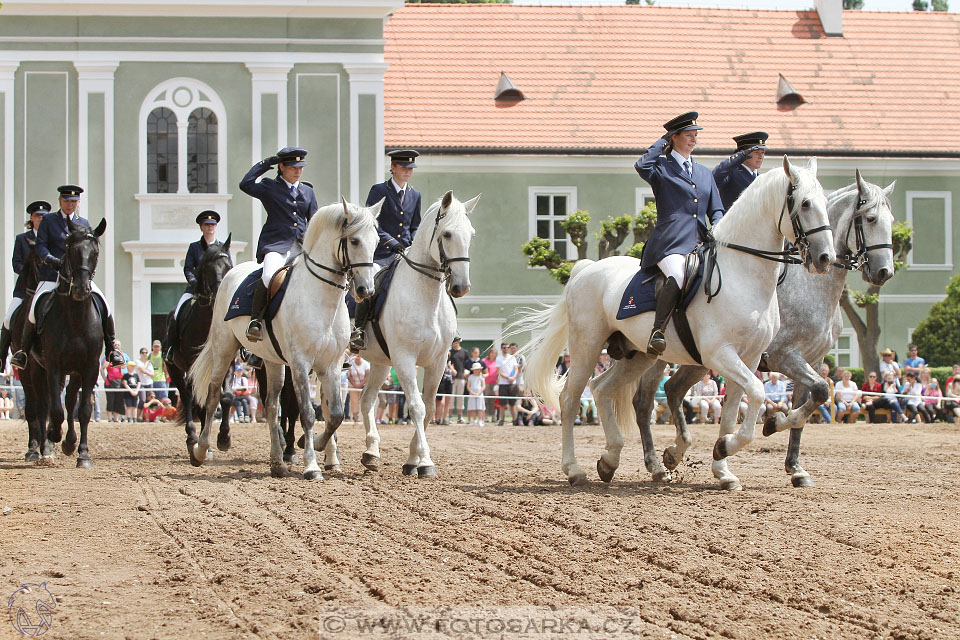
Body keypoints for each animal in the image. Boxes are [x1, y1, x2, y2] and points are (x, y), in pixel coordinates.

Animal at [19, 219, 108, 464]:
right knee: (41, 406)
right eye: (70, 249)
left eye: (95, 253)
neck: (76, 318)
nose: (80, 289)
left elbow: (83, 409)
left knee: (68, 400)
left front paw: (82, 453)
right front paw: (54, 435)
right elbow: (55, 410)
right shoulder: (52, 366)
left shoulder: (89, 367)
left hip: (74, 371)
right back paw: (42, 448)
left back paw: (66, 443)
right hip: (33, 369)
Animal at [163, 235, 234, 460]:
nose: (221, 294)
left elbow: (226, 397)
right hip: (175, 369)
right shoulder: (191, 365)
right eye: (207, 267)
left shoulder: (228, 363)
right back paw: (193, 437)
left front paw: (224, 438)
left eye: (229, 266)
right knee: (188, 396)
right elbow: (197, 399)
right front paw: (200, 441)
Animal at [189, 200, 380, 480]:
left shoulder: (331, 365)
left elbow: (334, 414)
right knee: (214, 395)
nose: (366, 290)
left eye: (376, 241)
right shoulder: (300, 363)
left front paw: (317, 445)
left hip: (273, 361)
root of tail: (231, 274)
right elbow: (308, 414)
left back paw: (277, 462)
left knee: (270, 406)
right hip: (225, 348)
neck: (321, 299)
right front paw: (311, 465)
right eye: (354, 241)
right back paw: (201, 451)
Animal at [352, 191, 480, 480]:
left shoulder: (438, 362)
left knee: (366, 400)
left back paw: (371, 453)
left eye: (471, 234)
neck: (424, 296)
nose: (462, 286)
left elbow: (430, 407)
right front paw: (425, 462)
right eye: (447, 234)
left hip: (379, 363)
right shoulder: (405, 359)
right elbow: (416, 406)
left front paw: (412, 461)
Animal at [512, 156, 836, 490]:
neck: (743, 274)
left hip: (638, 355)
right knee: (571, 398)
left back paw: (611, 460)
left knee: (601, 389)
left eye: (825, 203)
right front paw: (746, 438)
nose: (825, 258)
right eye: (805, 203)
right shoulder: (722, 355)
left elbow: (735, 411)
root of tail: (587, 269)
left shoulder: (750, 357)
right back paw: (576, 469)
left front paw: (725, 465)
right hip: (587, 346)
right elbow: (759, 392)